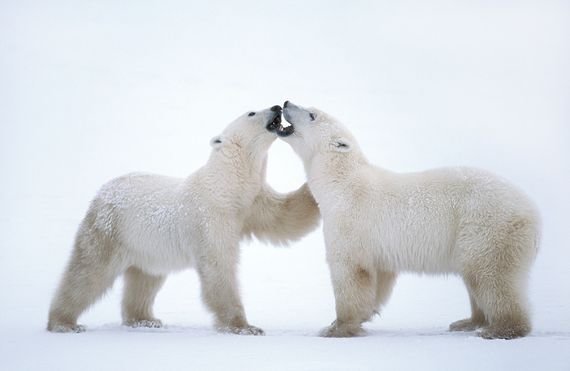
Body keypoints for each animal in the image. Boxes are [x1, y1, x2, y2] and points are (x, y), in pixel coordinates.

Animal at [47, 106, 320, 336]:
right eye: (251, 112)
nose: (276, 107)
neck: (227, 185)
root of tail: (101, 192)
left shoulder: (252, 203)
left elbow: (283, 217)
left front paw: (312, 188)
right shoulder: (212, 217)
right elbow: (219, 267)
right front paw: (245, 327)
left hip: (148, 246)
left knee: (145, 279)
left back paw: (145, 319)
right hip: (109, 230)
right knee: (89, 272)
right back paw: (63, 323)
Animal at [282, 101, 540, 340]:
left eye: (312, 114)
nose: (285, 103)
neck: (341, 183)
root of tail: (534, 212)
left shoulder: (350, 220)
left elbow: (350, 271)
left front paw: (336, 328)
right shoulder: (378, 246)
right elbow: (379, 278)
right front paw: (357, 317)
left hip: (488, 227)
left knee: (490, 276)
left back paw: (499, 328)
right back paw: (467, 322)